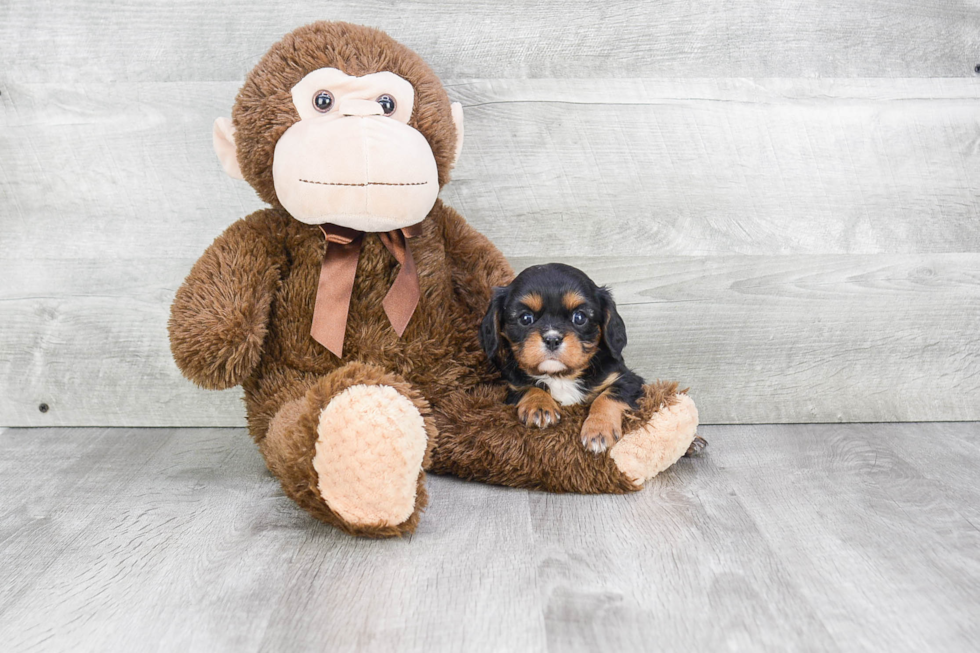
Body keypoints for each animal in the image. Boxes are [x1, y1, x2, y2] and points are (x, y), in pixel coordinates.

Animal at [480, 262, 648, 450]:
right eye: (525, 318)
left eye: (579, 317)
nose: (552, 339)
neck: (560, 376)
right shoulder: (512, 387)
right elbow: (529, 387)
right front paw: (539, 406)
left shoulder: (628, 380)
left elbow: (608, 395)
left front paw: (599, 429)